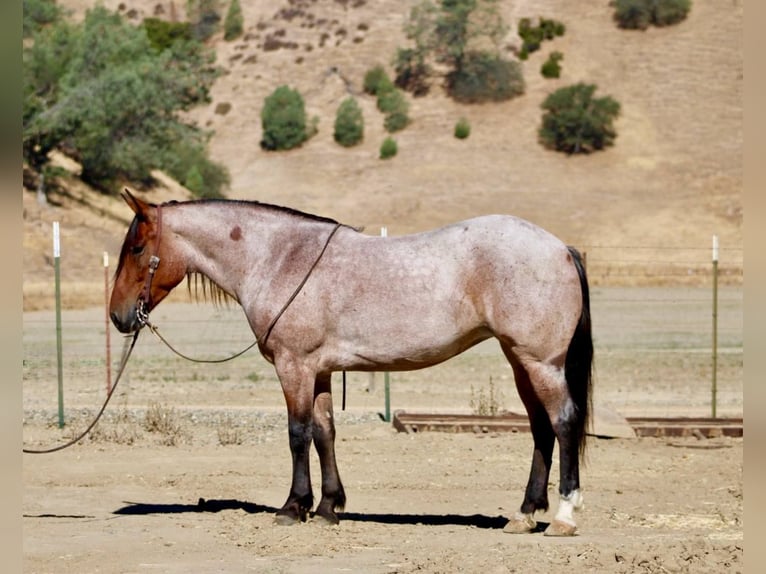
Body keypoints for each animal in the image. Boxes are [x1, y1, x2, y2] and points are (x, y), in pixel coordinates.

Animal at [109, 189, 593, 536]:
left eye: (136, 248)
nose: (118, 316)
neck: (280, 258)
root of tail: (560, 248)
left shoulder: (294, 367)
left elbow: (298, 434)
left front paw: (293, 506)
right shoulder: (319, 371)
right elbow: (325, 434)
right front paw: (328, 506)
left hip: (541, 363)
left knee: (564, 422)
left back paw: (564, 516)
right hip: (520, 362)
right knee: (540, 429)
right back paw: (524, 514)